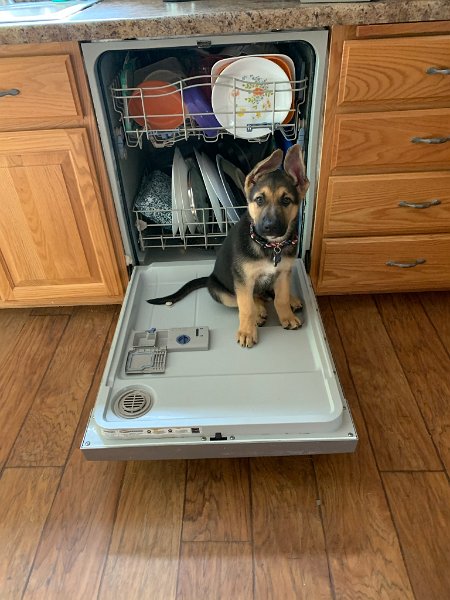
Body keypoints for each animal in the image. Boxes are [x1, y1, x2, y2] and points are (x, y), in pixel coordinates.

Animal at [148, 145, 310, 346]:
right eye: (259, 200)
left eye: (286, 200)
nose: (269, 227)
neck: (271, 246)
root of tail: (209, 278)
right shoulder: (243, 279)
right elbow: (246, 307)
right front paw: (247, 331)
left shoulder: (283, 274)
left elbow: (280, 298)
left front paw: (287, 316)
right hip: (222, 292)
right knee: (248, 300)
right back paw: (259, 311)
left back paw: (291, 300)